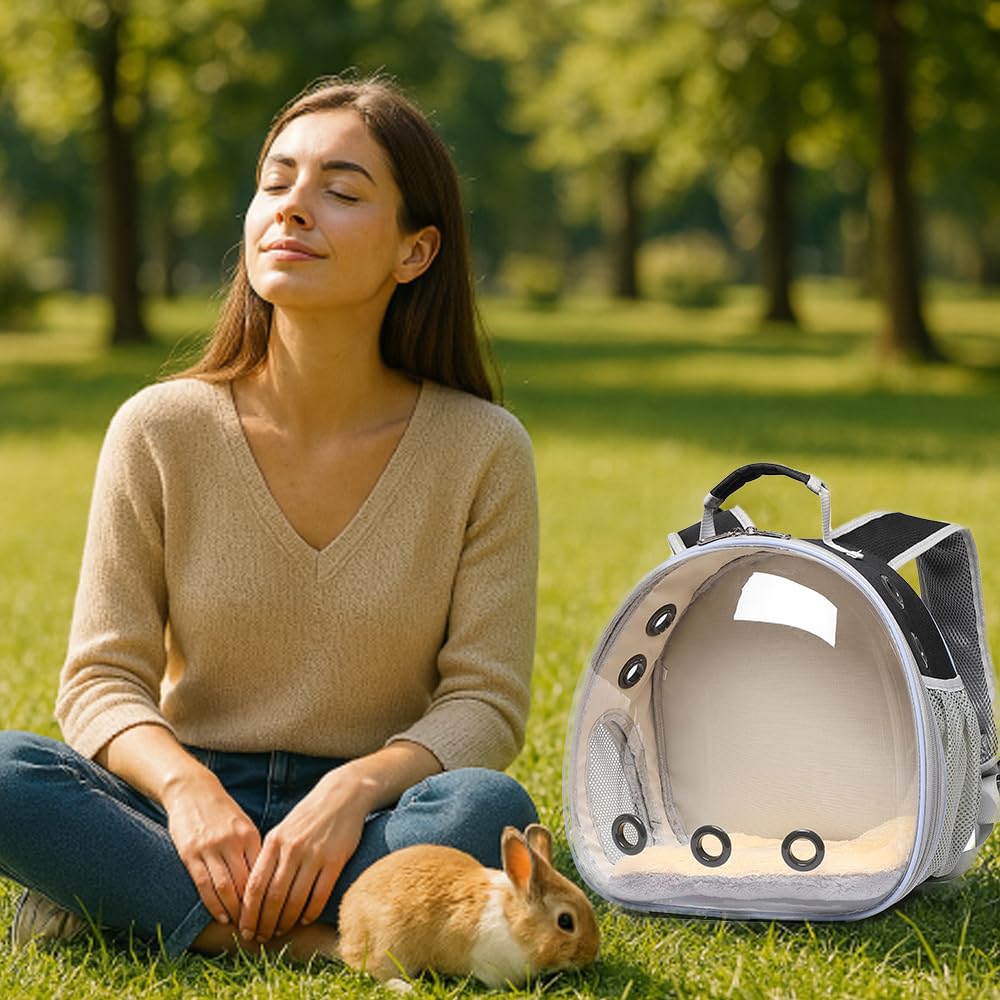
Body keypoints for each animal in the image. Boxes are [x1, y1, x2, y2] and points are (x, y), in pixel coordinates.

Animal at [336, 823, 600, 990]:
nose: (591, 954)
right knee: (380, 974)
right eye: (565, 921)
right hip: (388, 948)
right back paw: (405, 989)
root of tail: (345, 929)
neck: (515, 923)